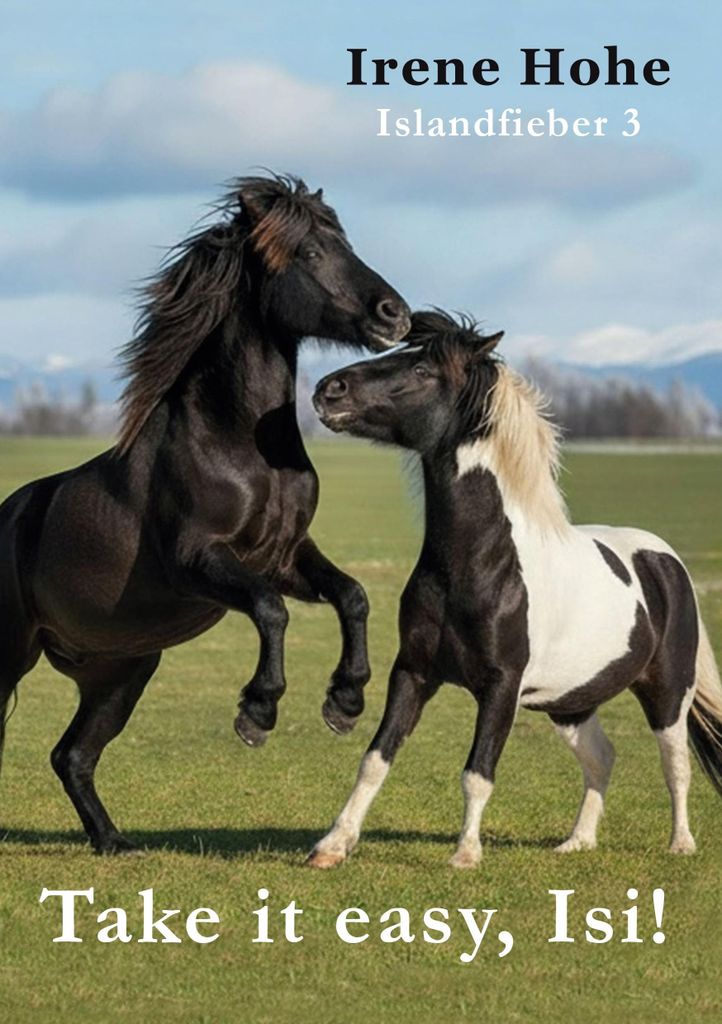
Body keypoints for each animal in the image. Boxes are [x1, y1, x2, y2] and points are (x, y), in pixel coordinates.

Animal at [0, 174, 411, 854]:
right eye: (309, 252)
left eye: (344, 243)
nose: (395, 315)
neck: (238, 443)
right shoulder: (198, 561)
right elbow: (270, 612)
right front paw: (258, 712)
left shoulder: (286, 556)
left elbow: (351, 595)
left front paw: (345, 701)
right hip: (15, 652)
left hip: (121, 671)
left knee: (72, 756)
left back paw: (113, 842)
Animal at [308, 309, 722, 868]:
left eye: (422, 371)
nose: (328, 390)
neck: (477, 568)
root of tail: (666, 560)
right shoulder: (412, 672)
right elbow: (375, 758)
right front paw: (331, 845)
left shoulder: (501, 686)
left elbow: (478, 772)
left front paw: (465, 854)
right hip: (570, 703)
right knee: (602, 758)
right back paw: (577, 841)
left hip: (668, 693)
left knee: (676, 764)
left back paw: (681, 843)